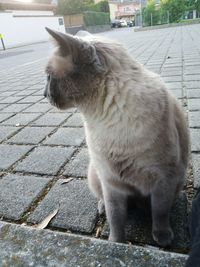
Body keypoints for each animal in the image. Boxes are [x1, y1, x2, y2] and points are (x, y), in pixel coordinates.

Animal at [43, 28, 189, 248]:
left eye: (49, 77)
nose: (44, 95)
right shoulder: (111, 182)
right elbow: (116, 219)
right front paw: (114, 243)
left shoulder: (164, 179)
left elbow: (160, 212)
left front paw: (163, 237)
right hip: (95, 173)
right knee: (105, 201)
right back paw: (102, 207)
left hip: (176, 182)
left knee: (156, 207)